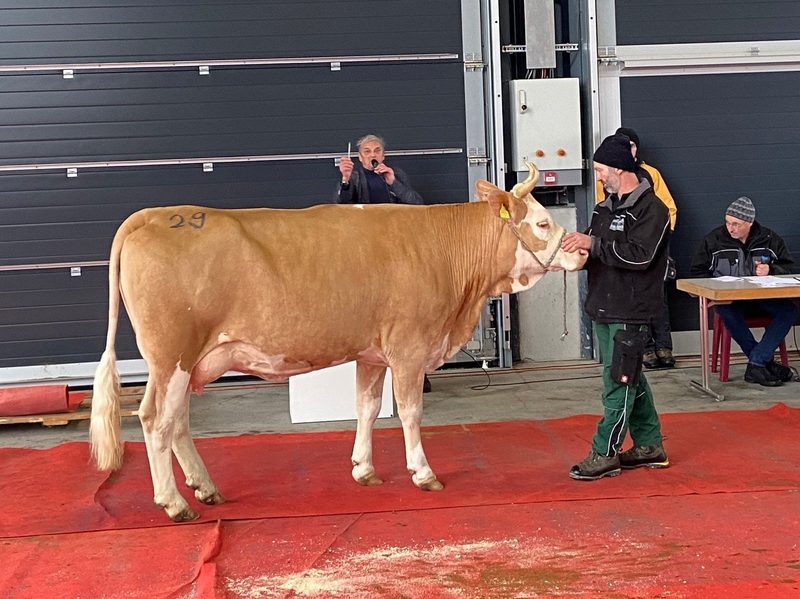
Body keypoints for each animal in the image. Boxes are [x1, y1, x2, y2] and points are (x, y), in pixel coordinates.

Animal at [90, 163, 586, 522]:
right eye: (543, 222)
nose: (581, 249)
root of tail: (157, 215)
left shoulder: (372, 353)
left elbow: (367, 406)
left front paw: (364, 469)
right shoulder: (409, 347)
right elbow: (410, 411)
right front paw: (423, 473)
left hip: (188, 360)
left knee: (178, 423)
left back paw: (205, 488)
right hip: (171, 353)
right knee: (156, 420)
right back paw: (174, 503)